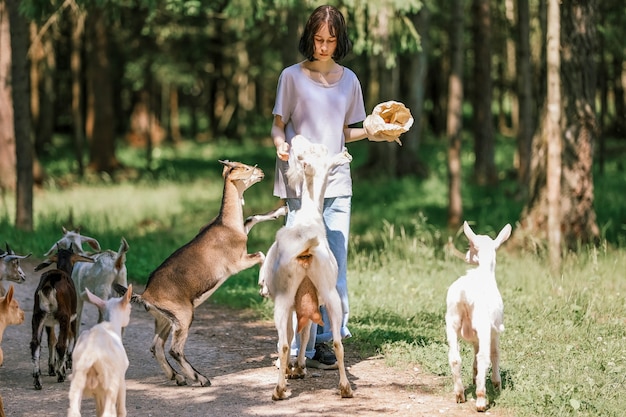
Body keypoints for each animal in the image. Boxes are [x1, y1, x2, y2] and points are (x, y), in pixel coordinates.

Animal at [31, 245, 93, 388]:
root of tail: (49, 284)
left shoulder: (48, 322)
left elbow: (51, 340)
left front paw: (51, 368)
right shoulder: (72, 315)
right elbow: (71, 336)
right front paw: (65, 365)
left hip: (37, 315)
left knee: (35, 343)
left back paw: (38, 380)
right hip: (63, 316)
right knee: (61, 344)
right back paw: (61, 374)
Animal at [67, 284, 132, 414]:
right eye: (130, 308)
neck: (110, 326)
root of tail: (92, 354)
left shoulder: (98, 393)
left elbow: (99, 411)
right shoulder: (121, 381)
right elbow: (121, 410)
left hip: (77, 384)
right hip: (110, 385)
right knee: (109, 412)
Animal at [258, 136, 354, 400]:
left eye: (305, 152)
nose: (296, 138)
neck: (309, 217)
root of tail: (307, 246)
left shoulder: (293, 301)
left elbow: (296, 334)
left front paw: (296, 368)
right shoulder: (314, 298)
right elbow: (306, 330)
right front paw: (299, 367)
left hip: (283, 297)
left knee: (283, 342)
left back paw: (279, 390)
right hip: (330, 294)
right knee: (338, 342)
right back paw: (345, 388)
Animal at [444, 221, 508, 410]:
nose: (466, 257)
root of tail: (464, 294)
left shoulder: (475, 337)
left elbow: (474, 353)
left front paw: (473, 378)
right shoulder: (495, 330)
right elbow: (495, 354)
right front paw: (497, 384)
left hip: (451, 320)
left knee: (455, 358)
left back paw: (459, 394)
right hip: (483, 323)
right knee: (484, 357)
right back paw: (481, 399)